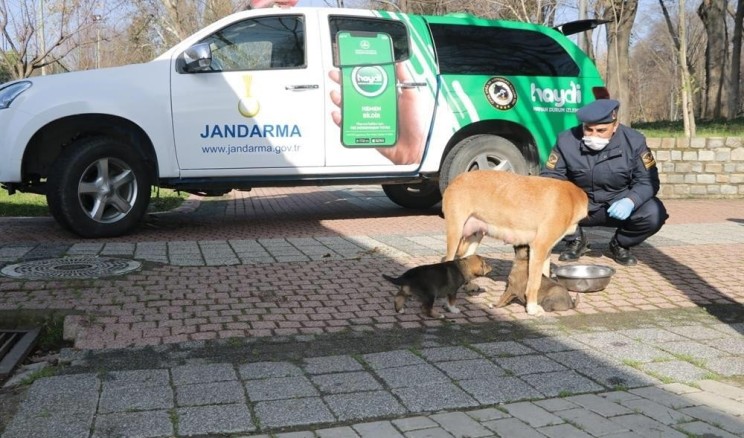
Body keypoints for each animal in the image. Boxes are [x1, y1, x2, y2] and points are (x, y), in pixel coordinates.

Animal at [442, 169, 588, 316]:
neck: (571, 197)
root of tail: (458, 178)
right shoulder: (539, 248)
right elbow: (534, 283)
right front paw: (532, 307)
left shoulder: (546, 252)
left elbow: (544, 276)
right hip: (456, 232)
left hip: (475, 236)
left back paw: (469, 285)